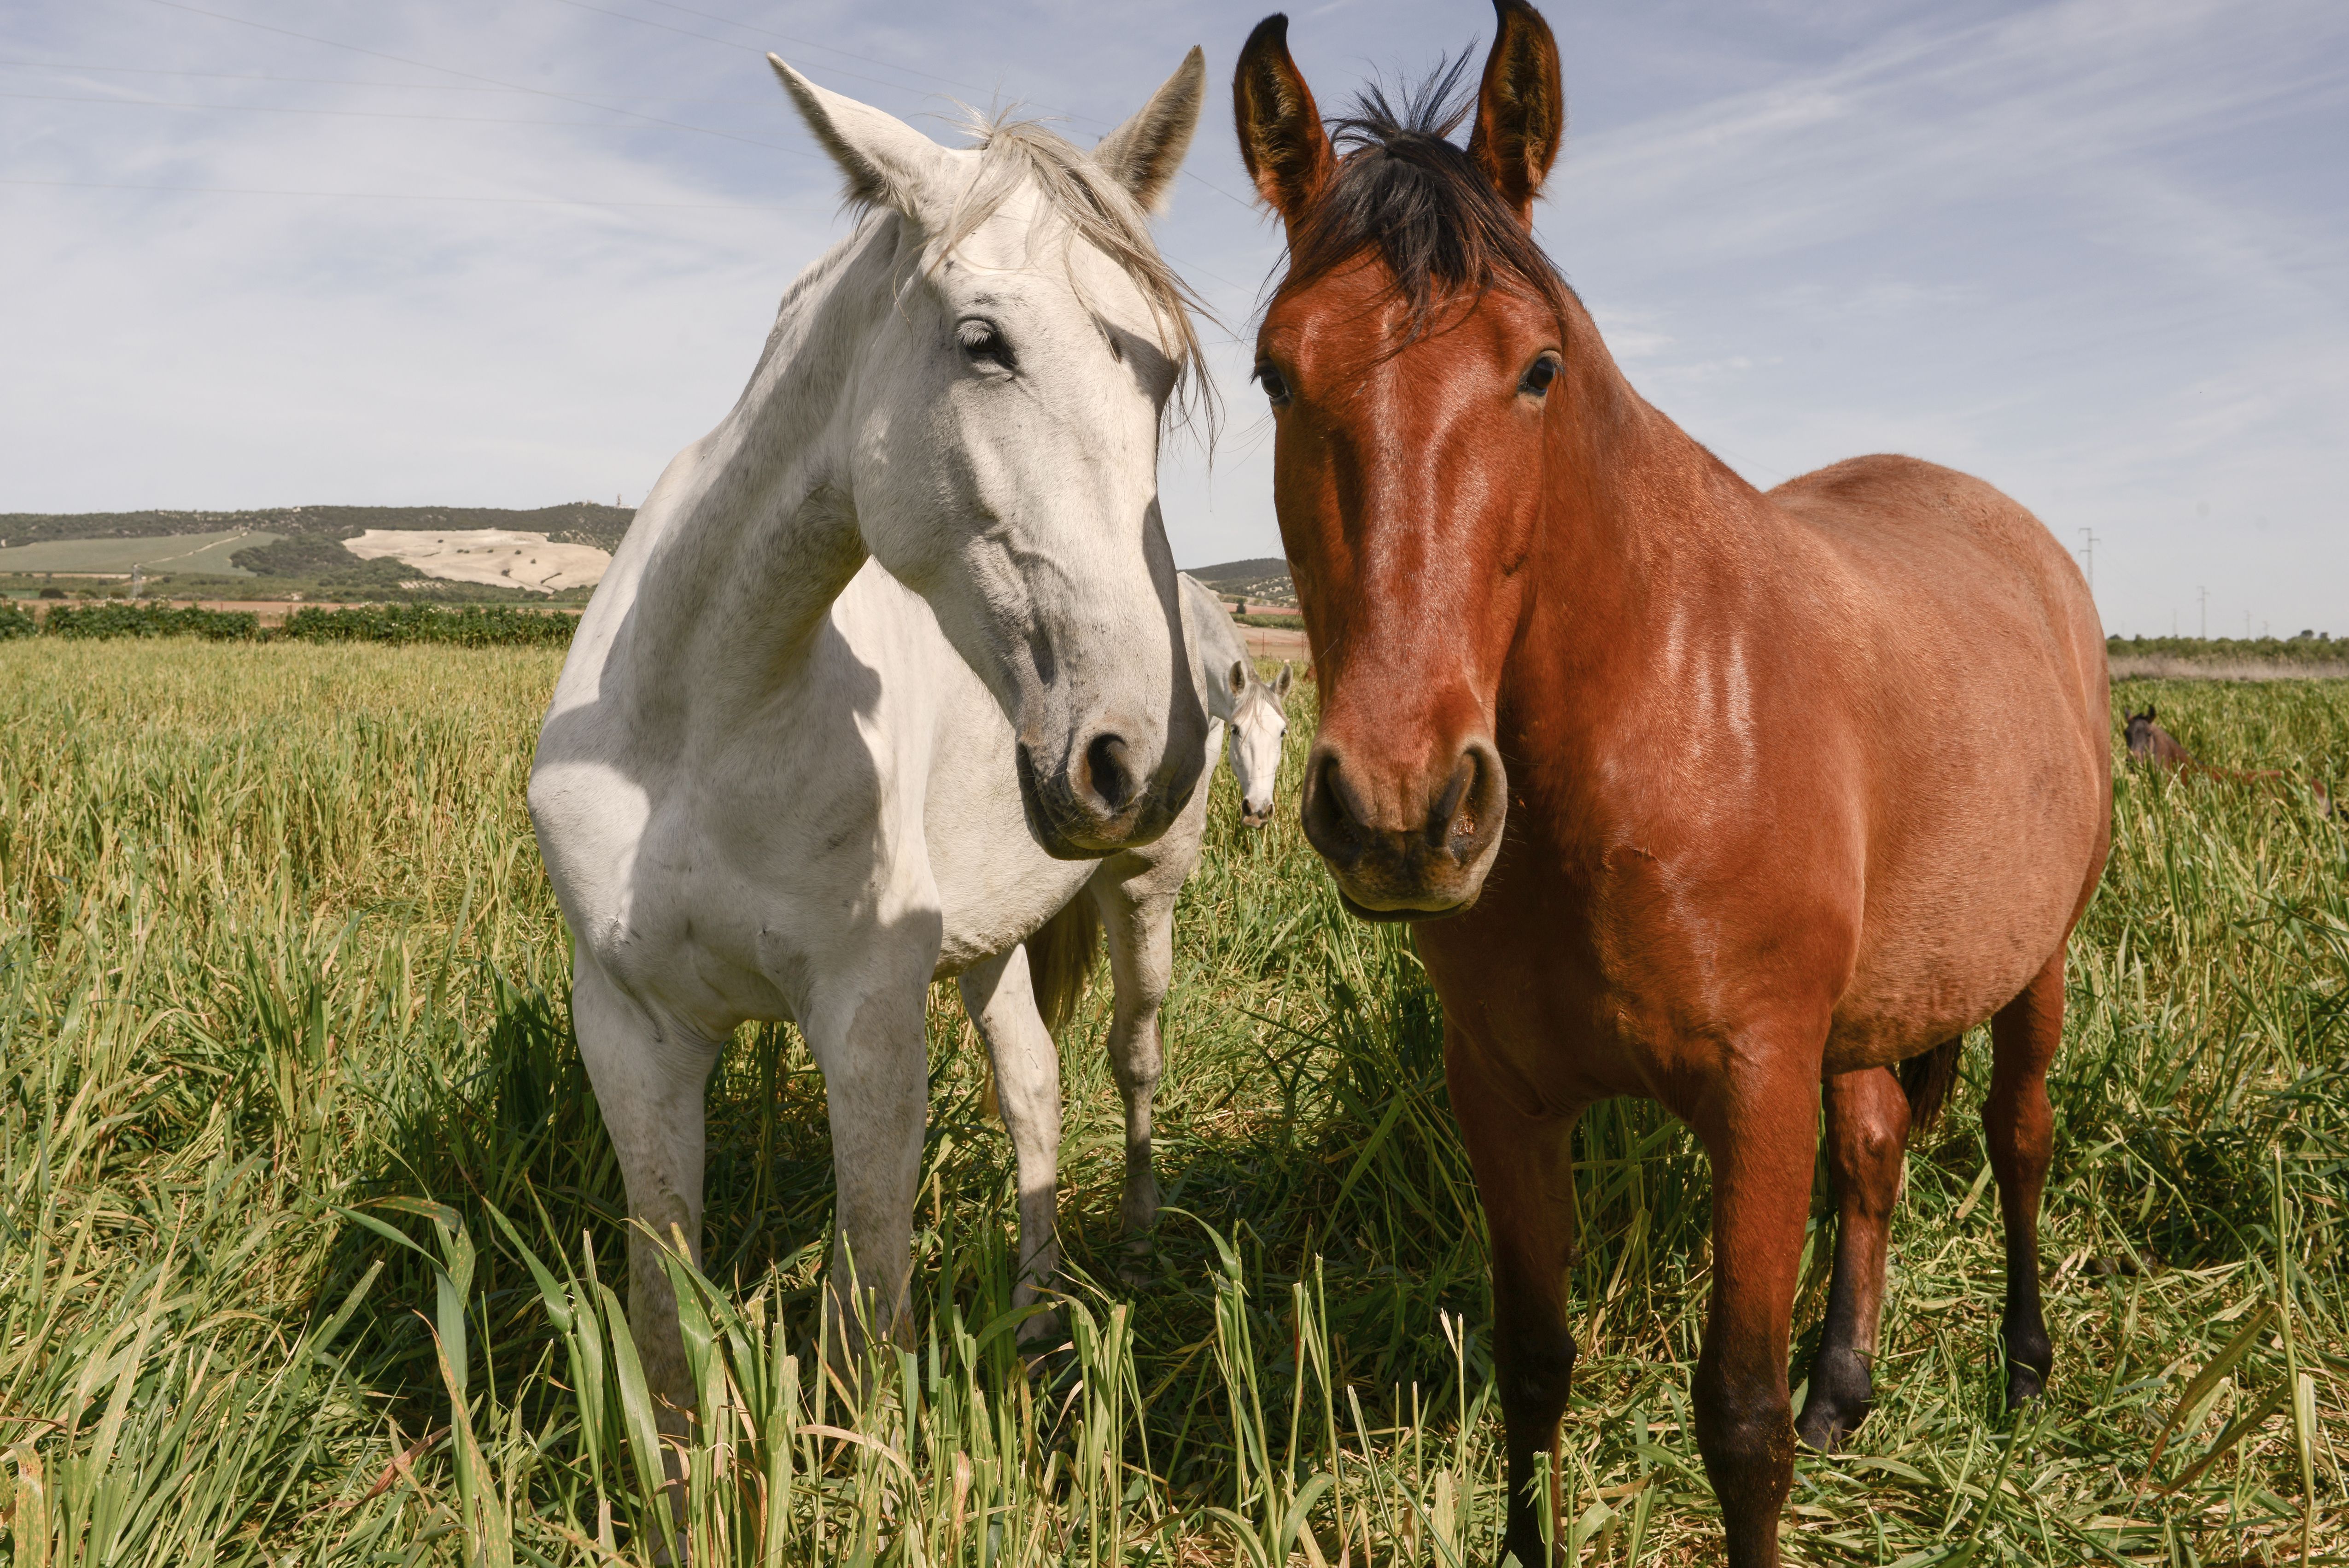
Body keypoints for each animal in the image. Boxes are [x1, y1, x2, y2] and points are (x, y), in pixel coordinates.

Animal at [531, 49, 1212, 1410]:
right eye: (981, 342)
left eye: (1161, 367)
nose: (1137, 754)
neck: (709, 719)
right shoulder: (633, 1029)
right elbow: (662, 1309)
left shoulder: (868, 1018)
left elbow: (868, 1307)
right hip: (992, 942)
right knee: (1034, 1093)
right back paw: (1036, 1315)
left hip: (1142, 898)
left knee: (1130, 1063)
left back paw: (1132, 1252)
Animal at [1231, 6, 2114, 1561]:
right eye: (1278, 371)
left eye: (1535, 368)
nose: (1403, 810)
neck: (1645, 733)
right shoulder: (1502, 1090)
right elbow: (1532, 1363)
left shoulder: (1755, 1090)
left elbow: (1738, 1425)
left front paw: (1794, 1417)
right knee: (1875, 1148)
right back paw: (1847, 1384)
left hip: (2034, 962)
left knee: (2017, 1141)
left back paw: (2019, 1371)